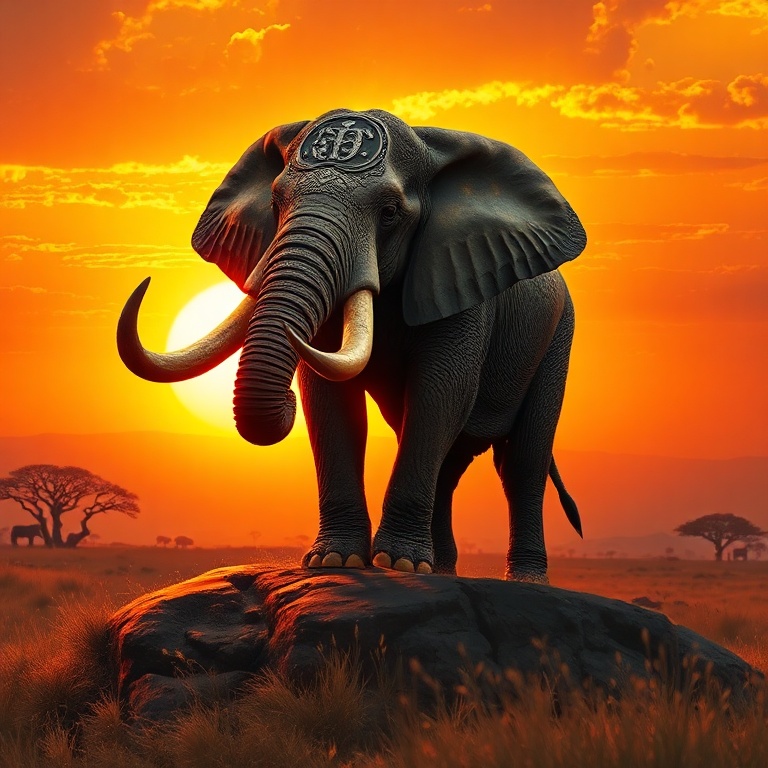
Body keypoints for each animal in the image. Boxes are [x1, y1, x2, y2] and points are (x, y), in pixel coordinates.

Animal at [118, 109, 587, 582]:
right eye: (275, 205)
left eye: (390, 213)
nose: (284, 403)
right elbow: (331, 401)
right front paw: (336, 561)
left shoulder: (458, 276)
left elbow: (440, 392)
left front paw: (396, 564)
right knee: (451, 460)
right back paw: (439, 572)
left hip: (559, 335)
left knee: (521, 462)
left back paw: (520, 578)